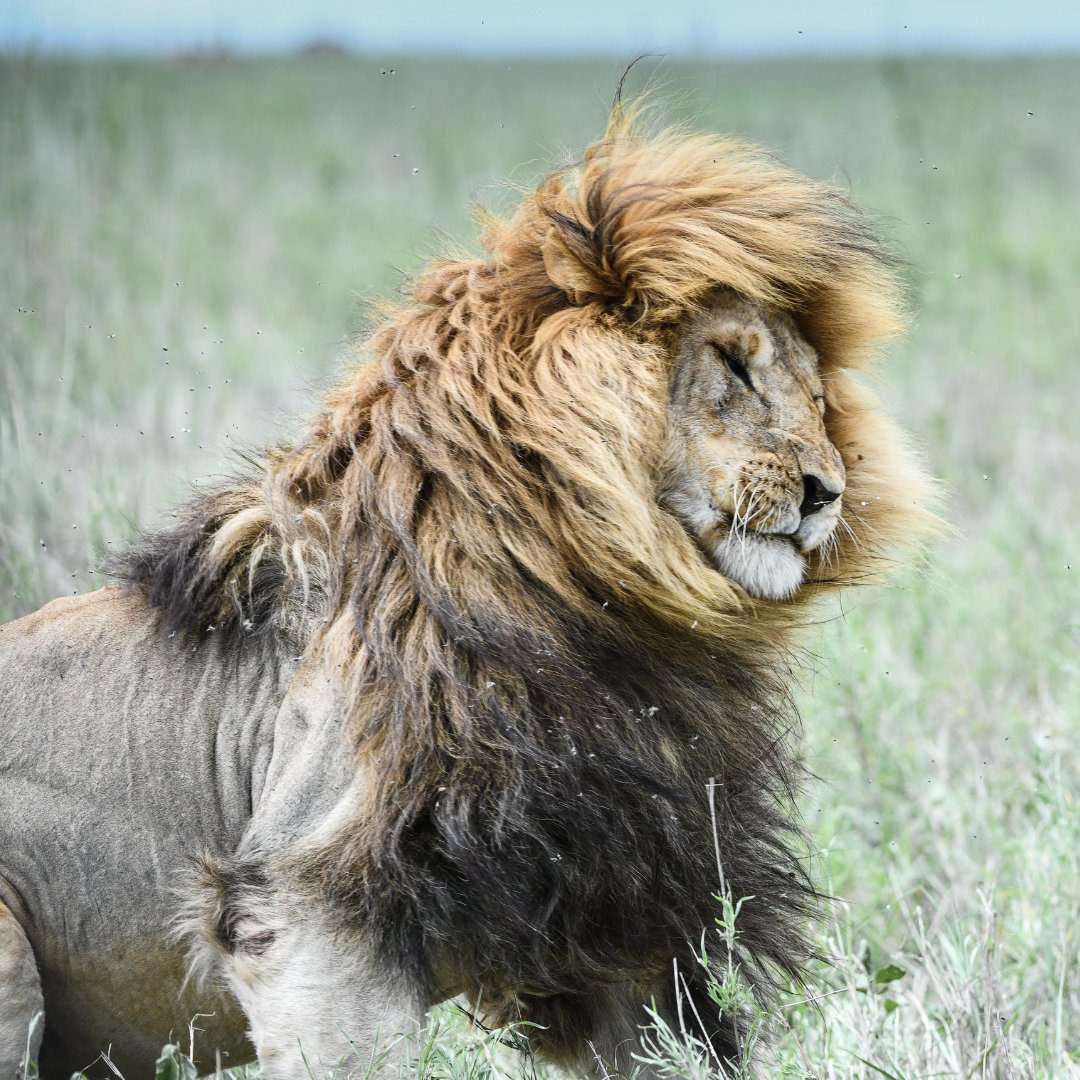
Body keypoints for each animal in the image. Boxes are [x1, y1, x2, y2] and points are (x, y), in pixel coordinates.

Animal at [0, 101, 936, 1079]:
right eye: (734, 363)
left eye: (817, 394)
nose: (828, 491)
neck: (594, 606)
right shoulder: (303, 901)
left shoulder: (628, 903)